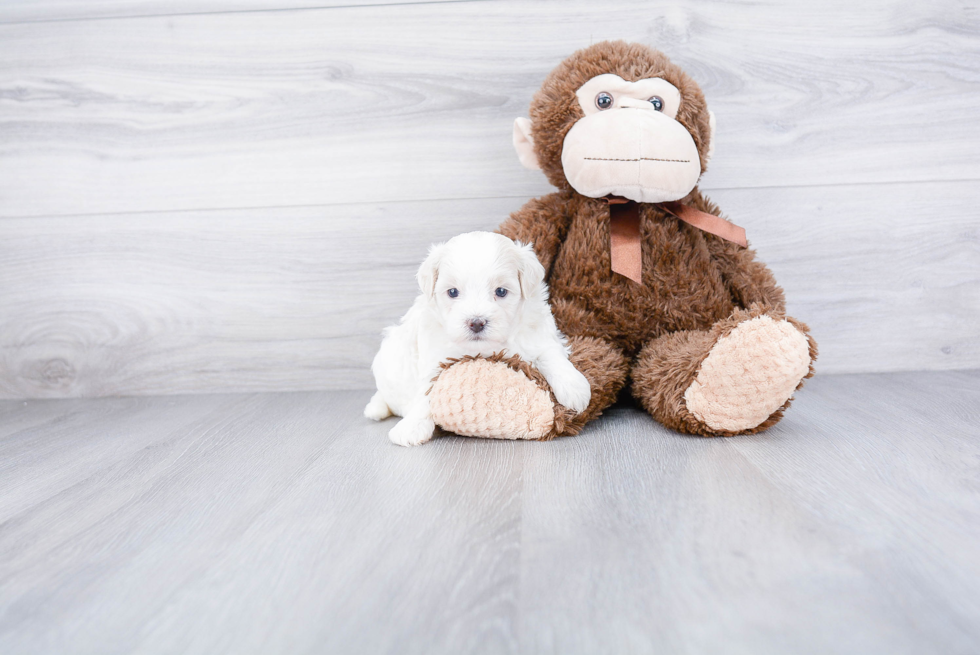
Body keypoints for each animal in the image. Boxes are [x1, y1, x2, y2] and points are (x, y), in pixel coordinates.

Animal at [366, 229, 588, 446]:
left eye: (501, 291)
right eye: (452, 292)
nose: (476, 323)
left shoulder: (539, 332)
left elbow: (550, 353)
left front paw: (575, 388)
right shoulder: (435, 357)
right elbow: (427, 390)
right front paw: (412, 427)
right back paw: (376, 408)